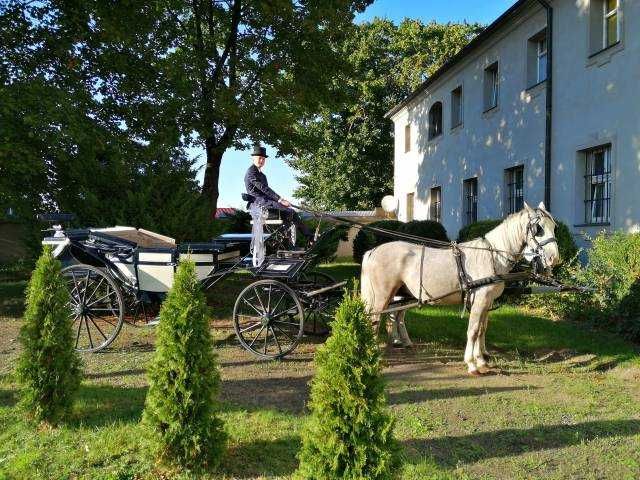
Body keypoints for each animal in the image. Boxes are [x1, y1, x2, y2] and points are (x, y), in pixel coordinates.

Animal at [360, 202, 560, 376]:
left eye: (554, 227)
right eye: (538, 229)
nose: (554, 258)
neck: (492, 257)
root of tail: (373, 251)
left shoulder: (487, 302)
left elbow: (481, 329)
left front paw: (482, 360)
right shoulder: (479, 300)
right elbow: (473, 330)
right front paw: (472, 364)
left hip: (399, 294)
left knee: (393, 316)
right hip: (383, 296)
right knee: (375, 320)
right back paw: (373, 353)